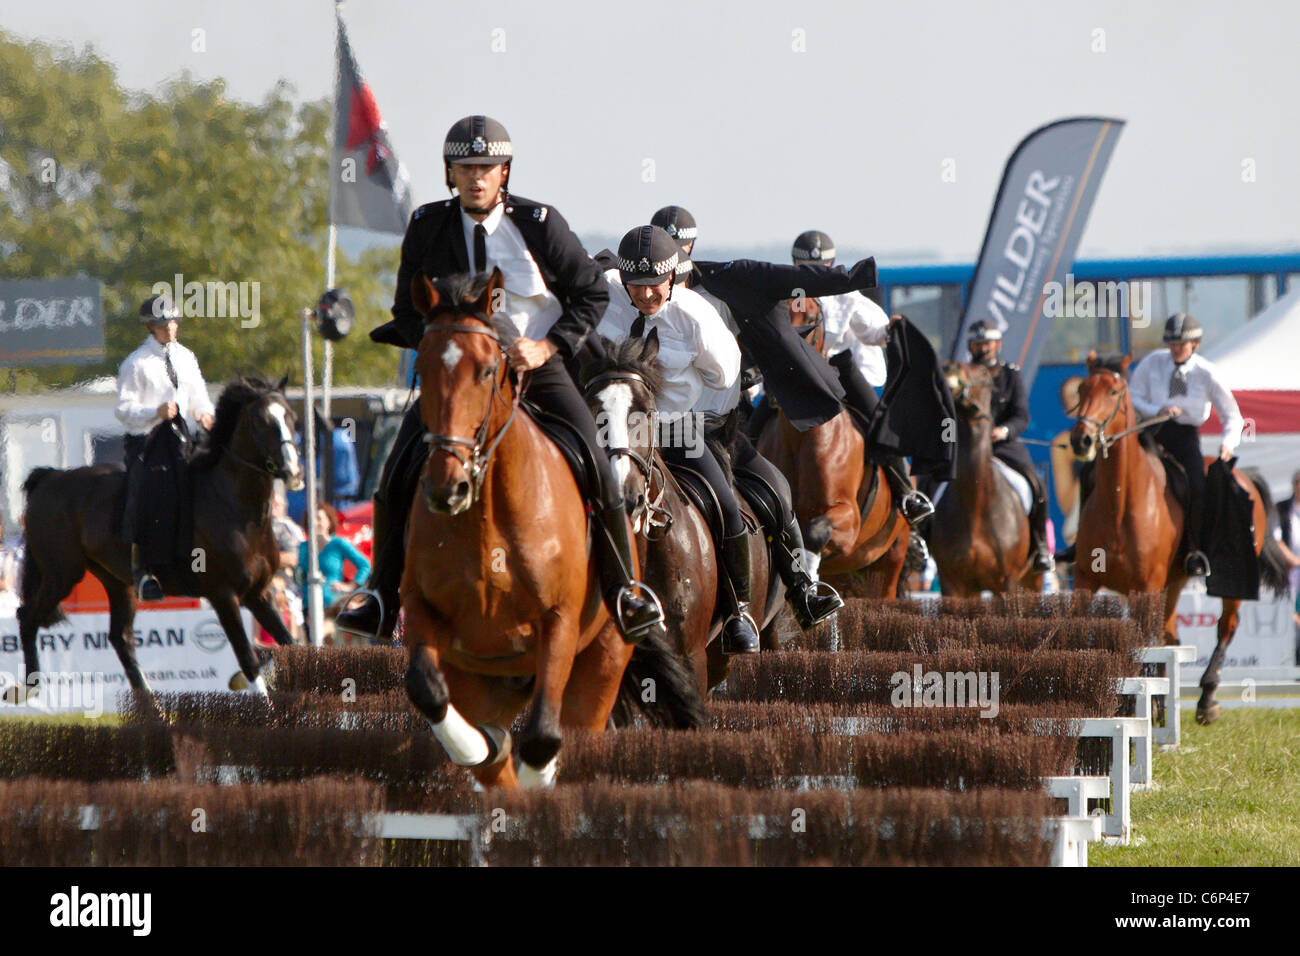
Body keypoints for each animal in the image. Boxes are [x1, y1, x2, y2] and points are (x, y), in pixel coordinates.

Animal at [12, 377, 301, 712]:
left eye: (290, 416)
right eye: (261, 421)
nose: (293, 473)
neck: (233, 505)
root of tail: (49, 479)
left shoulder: (258, 593)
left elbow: (292, 645)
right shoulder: (223, 595)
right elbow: (248, 658)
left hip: (117, 582)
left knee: (120, 639)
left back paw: (154, 711)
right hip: (61, 574)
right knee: (27, 617)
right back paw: (26, 689)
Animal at [405, 270, 707, 790]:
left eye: (646, 411)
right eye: (422, 371)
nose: (449, 483)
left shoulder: (561, 625)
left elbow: (544, 737)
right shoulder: (429, 618)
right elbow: (429, 691)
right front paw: (483, 748)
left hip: (603, 664)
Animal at [1066, 356, 1289, 723]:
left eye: (1113, 391)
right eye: (1082, 389)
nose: (1081, 440)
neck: (1120, 502)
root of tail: (1243, 474)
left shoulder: (1146, 586)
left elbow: (1143, 643)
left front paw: (1130, 705)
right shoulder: (1086, 579)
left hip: (1224, 584)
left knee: (1225, 627)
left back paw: (1206, 699)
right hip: (1173, 582)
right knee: (1171, 634)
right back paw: (1161, 703)